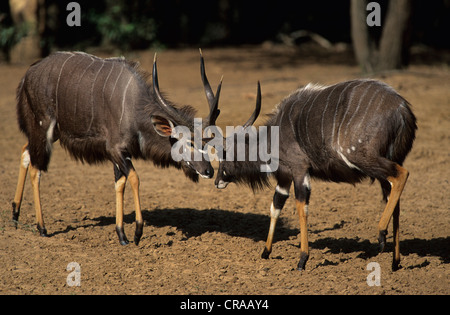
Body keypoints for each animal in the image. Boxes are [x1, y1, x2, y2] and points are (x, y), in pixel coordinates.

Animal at [10, 50, 221, 246]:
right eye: (190, 142)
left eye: (207, 142)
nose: (208, 171)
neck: (133, 108)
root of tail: (27, 75)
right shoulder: (114, 150)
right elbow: (134, 178)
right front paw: (137, 233)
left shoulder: (119, 154)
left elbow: (120, 183)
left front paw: (122, 236)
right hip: (42, 128)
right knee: (36, 168)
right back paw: (42, 228)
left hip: (50, 134)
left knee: (25, 151)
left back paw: (15, 215)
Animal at [216, 79, 416, 272]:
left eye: (224, 154)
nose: (217, 181)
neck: (272, 137)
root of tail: (402, 109)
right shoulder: (285, 177)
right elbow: (276, 206)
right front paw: (266, 252)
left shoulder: (299, 169)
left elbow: (301, 206)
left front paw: (302, 260)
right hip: (387, 165)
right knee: (395, 201)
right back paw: (395, 262)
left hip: (362, 158)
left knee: (402, 175)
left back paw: (381, 235)